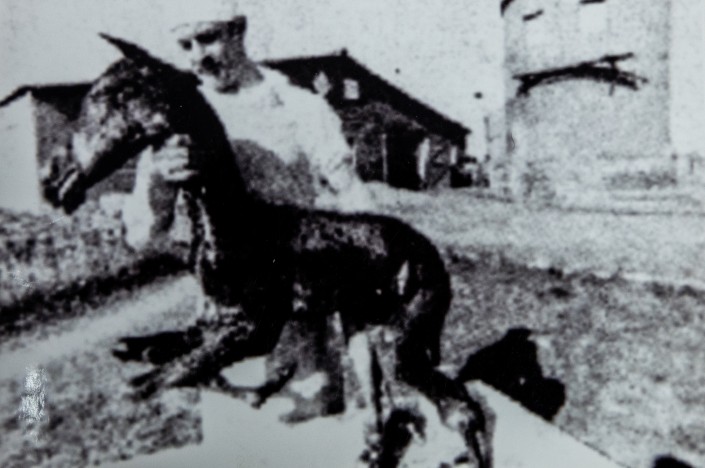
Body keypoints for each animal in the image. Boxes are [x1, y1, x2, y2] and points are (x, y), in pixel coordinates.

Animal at [47, 34, 491, 467]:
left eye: (115, 92)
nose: (57, 180)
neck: (235, 224)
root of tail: (428, 253)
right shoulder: (212, 322)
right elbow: (148, 357)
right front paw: (266, 385)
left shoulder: (258, 326)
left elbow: (146, 382)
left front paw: (270, 384)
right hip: (368, 326)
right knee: (410, 401)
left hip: (407, 337)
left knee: (461, 407)